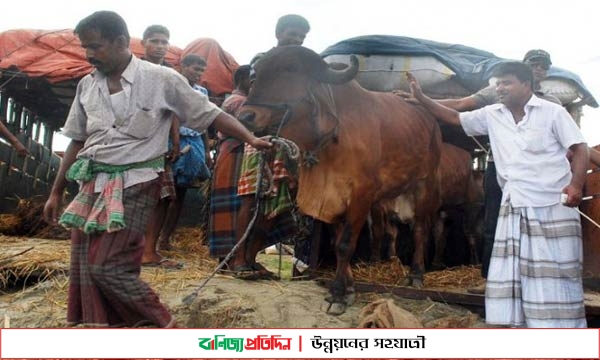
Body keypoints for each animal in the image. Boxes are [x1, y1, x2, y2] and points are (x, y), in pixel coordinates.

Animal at [238, 45, 440, 316]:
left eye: (291, 68)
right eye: (256, 73)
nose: (246, 116)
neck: (333, 137)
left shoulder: (361, 196)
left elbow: (346, 245)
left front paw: (336, 295)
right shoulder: (330, 198)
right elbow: (337, 244)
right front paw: (349, 289)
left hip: (425, 184)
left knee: (419, 229)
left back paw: (416, 274)